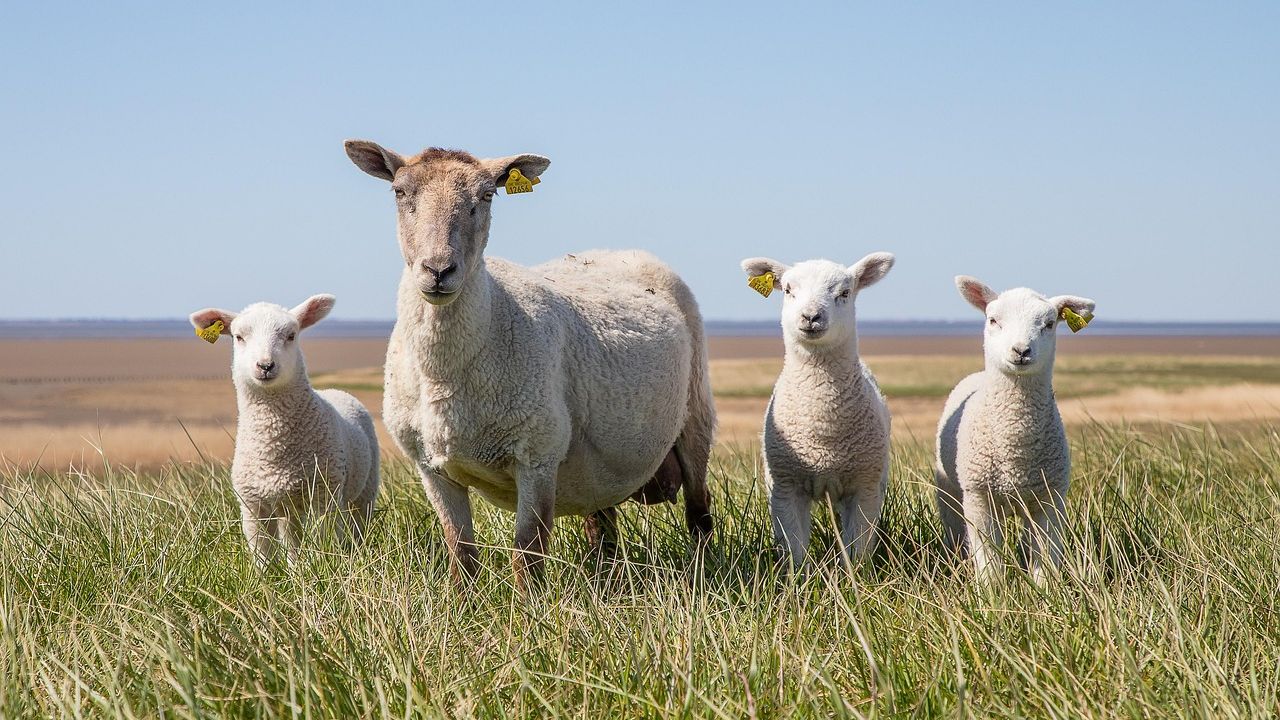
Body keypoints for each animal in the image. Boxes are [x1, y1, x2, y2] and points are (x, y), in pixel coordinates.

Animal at [189, 294, 380, 567]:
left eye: (291, 335)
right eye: (238, 337)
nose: (265, 365)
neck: (274, 447)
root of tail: (334, 390)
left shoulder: (323, 496)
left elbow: (323, 541)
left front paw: (322, 567)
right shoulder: (252, 505)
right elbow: (261, 554)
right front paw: (267, 577)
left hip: (363, 491)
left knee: (356, 525)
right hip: (288, 506)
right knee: (292, 540)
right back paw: (294, 568)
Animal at [344, 140, 715, 589]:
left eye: (487, 196)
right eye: (400, 192)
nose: (438, 270)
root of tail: (617, 251)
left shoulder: (537, 455)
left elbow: (528, 551)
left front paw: (530, 607)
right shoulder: (431, 467)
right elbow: (460, 552)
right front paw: (464, 603)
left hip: (695, 415)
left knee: (699, 511)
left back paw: (702, 575)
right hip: (599, 466)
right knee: (602, 526)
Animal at [739, 253, 896, 568]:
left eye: (845, 293)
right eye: (788, 290)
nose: (811, 317)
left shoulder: (865, 486)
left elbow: (858, 549)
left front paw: (855, 577)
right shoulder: (784, 486)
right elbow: (794, 550)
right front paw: (798, 577)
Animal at [934, 276, 1096, 585]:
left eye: (1049, 323)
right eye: (993, 320)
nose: (1021, 351)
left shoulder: (1050, 498)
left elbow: (1045, 556)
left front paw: (1045, 591)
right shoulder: (979, 498)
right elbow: (988, 559)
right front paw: (991, 592)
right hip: (950, 491)